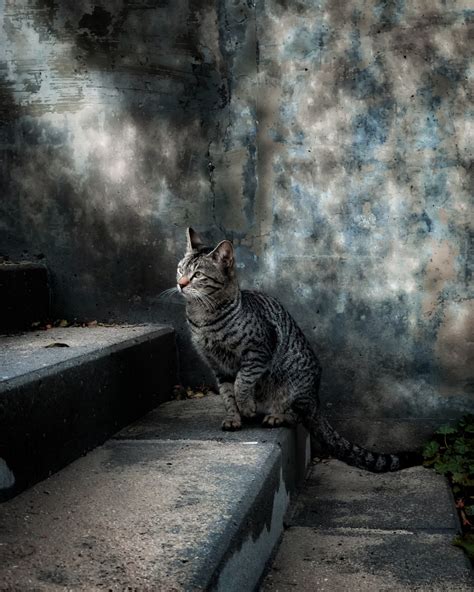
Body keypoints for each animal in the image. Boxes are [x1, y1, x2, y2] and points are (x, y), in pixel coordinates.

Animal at [176, 227, 420, 472]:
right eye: (180, 269)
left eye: (198, 275)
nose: (181, 283)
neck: (203, 318)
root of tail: (315, 399)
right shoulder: (218, 366)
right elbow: (227, 393)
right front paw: (233, 418)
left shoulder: (258, 352)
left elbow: (242, 383)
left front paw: (246, 406)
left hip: (293, 383)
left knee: (296, 415)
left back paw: (276, 416)